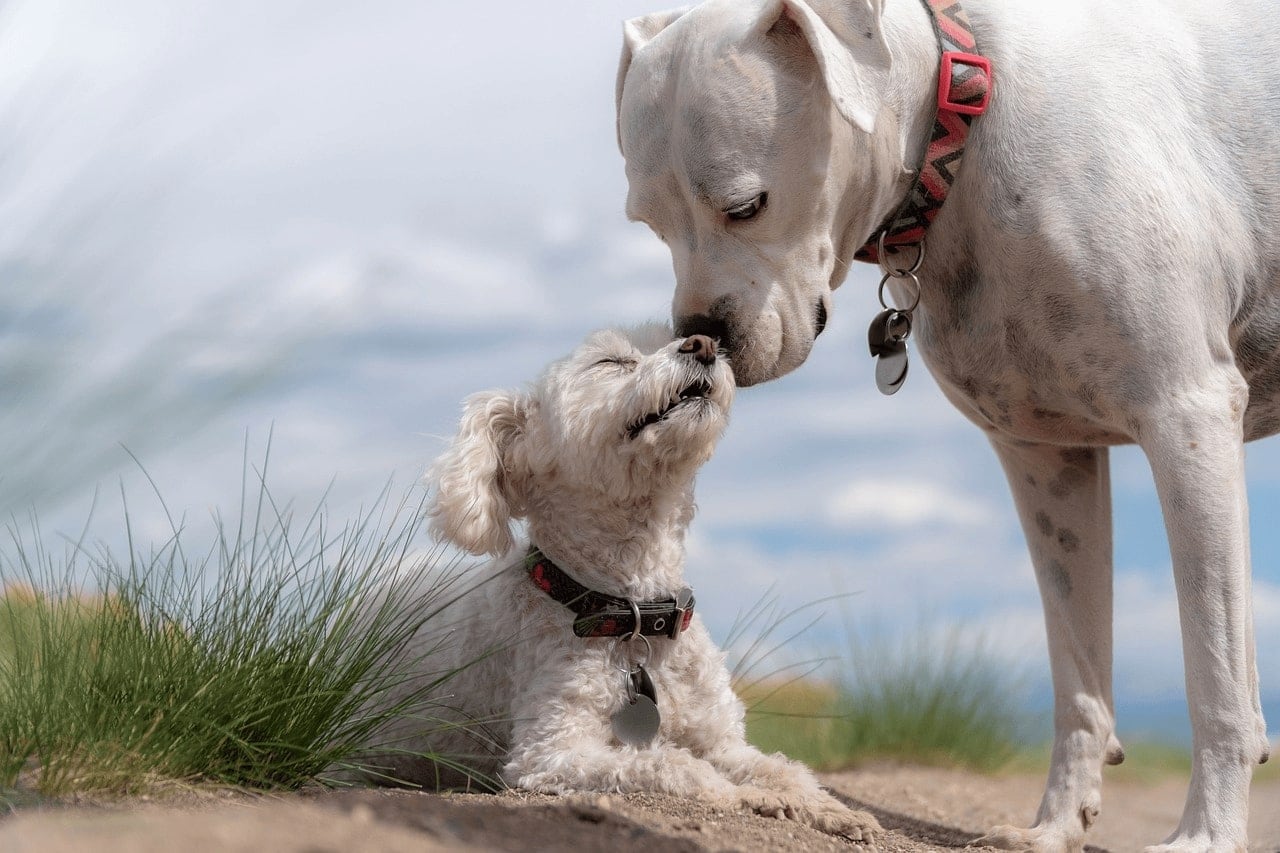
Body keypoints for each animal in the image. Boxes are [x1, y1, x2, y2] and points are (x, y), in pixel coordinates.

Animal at [366, 324, 875, 835]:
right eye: (610, 362)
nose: (703, 343)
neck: (633, 613)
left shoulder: (721, 739)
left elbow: (783, 769)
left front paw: (833, 809)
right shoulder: (551, 752)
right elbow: (675, 765)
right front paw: (747, 797)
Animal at [614, 1, 1280, 850]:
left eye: (744, 205)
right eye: (649, 223)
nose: (702, 336)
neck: (963, 117)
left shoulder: (1187, 417)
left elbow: (1217, 676)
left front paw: (1207, 834)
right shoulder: (1046, 458)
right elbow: (1078, 674)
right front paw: (1055, 824)